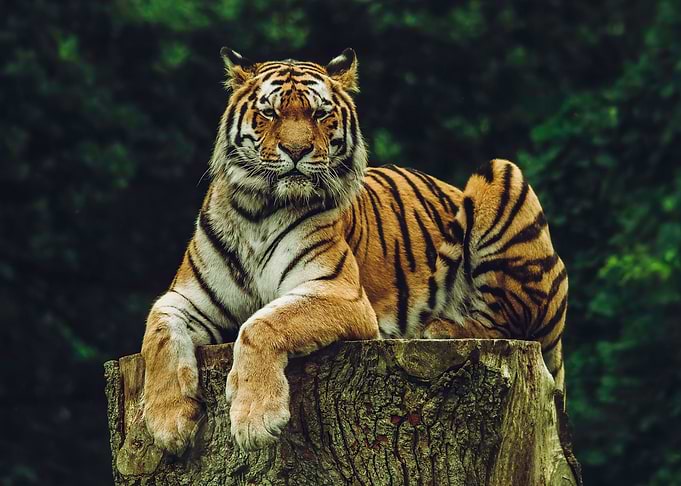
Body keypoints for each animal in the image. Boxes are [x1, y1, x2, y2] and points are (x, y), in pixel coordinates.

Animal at [140, 47, 568, 454]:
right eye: (269, 112)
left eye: (320, 113)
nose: (296, 150)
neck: (258, 211)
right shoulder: (186, 298)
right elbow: (158, 337)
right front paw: (167, 423)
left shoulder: (339, 292)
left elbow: (261, 324)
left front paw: (255, 419)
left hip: (502, 174)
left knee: (510, 323)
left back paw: (440, 327)